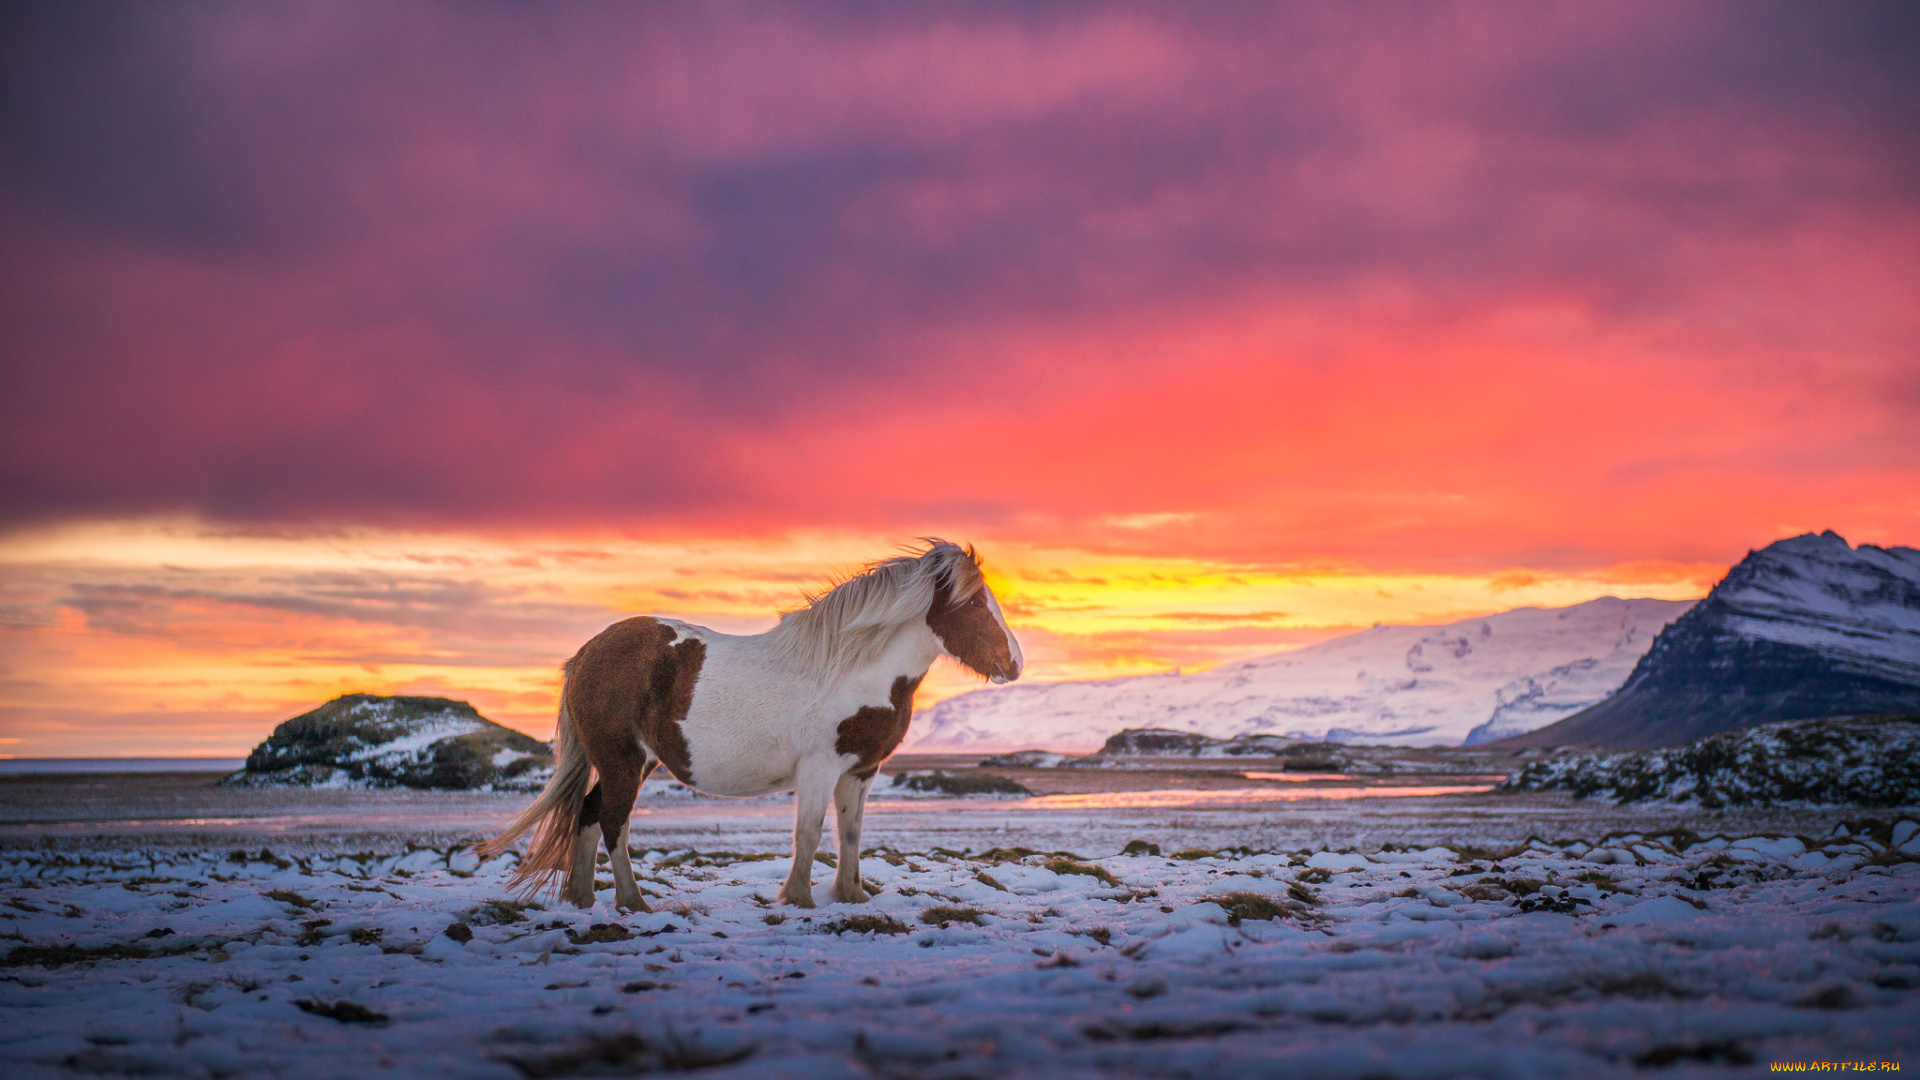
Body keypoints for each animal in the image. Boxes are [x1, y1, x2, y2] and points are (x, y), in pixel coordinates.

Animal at [480, 538, 1021, 907]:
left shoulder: (861, 771)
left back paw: (582, 900)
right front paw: (799, 899)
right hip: (621, 762)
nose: (1014, 663)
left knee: (590, 814)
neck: (854, 670)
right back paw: (633, 903)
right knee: (612, 821)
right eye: (975, 603)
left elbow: (850, 833)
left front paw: (850, 896)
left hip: (631, 763)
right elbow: (808, 832)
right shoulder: (819, 768)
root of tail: (588, 653)